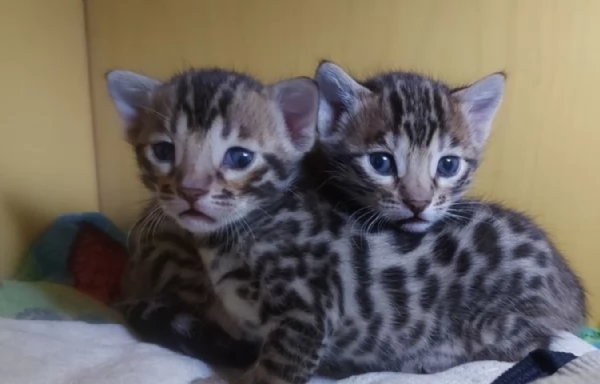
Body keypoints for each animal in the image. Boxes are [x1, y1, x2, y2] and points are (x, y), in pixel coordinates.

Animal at [104, 66, 584, 384]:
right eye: (164, 152)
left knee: (533, 344)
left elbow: (272, 374)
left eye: (239, 157)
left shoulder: (305, 316)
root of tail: (571, 290)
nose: (191, 191)